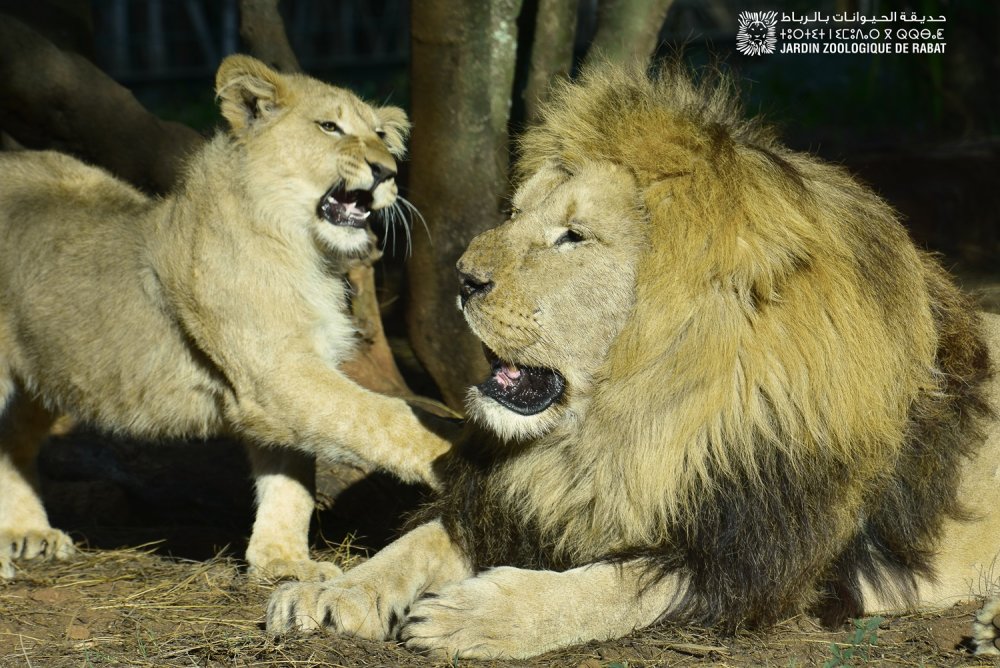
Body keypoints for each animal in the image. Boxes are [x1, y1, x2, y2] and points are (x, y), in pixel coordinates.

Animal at [0, 54, 450, 580]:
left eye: (380, 134)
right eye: (329, 127)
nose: (387, 170)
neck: (304, 249)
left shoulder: (279, 382)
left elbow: (291, 479)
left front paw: (283, 561)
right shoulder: (275, 373)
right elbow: (384, 418)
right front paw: (459, 452)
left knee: (13, 441)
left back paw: (28, 533)